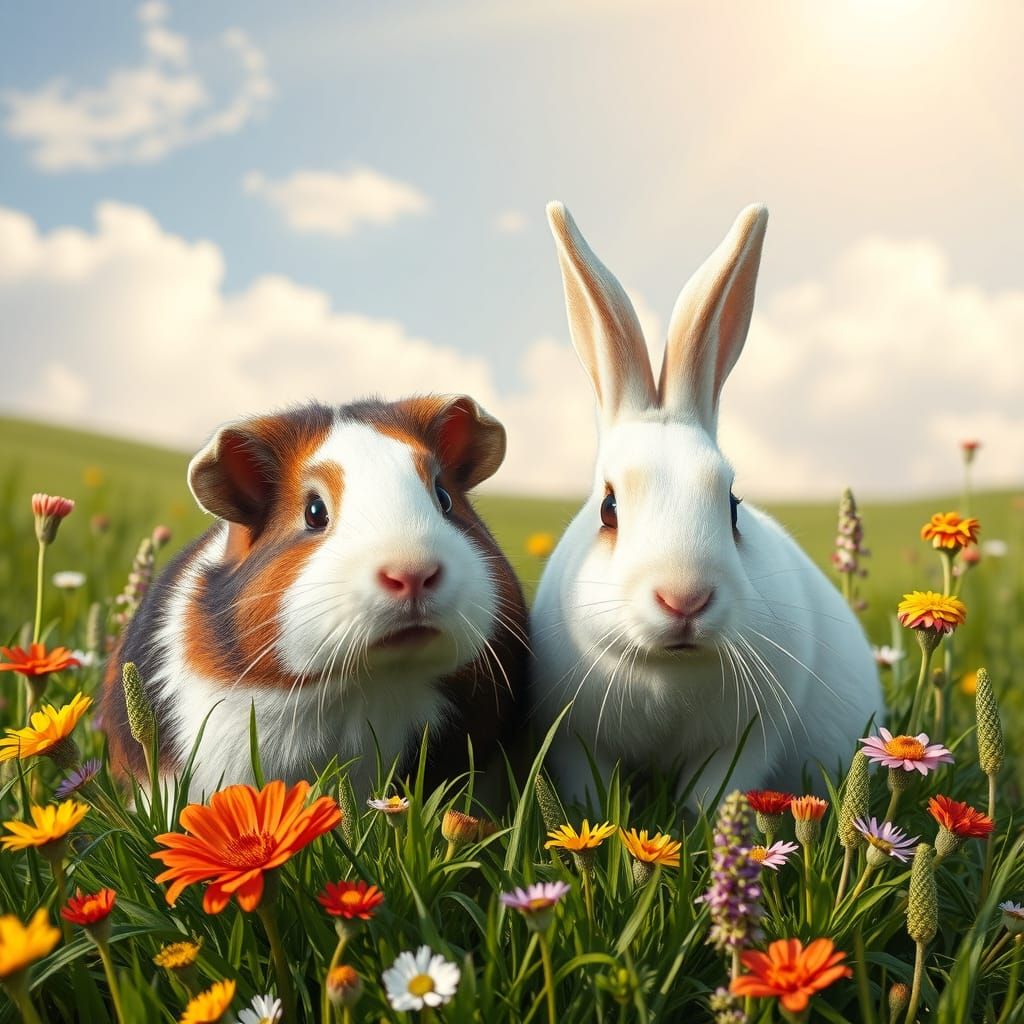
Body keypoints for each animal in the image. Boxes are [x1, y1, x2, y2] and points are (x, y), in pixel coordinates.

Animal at [530, 201, 884, 809]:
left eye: (733, 505)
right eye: (608, 509)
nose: (685, 599)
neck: (666, 668)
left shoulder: (741, 744)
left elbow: (715, 797)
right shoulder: (576, 743)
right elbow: (587, 791)